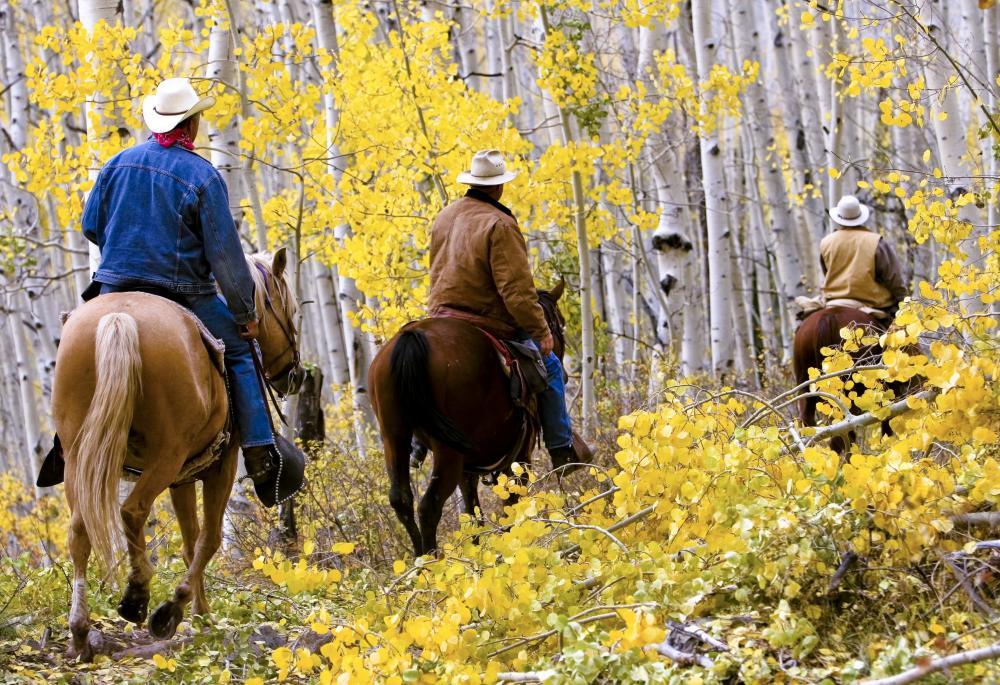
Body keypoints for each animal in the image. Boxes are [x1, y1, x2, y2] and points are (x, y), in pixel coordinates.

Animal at [52, 250, 298, 656]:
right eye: (289, 309)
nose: (294, 374)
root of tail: (118, 319)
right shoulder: (219, 467)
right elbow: (208, 539)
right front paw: (178, 609)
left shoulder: (183, 478)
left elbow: (189, 542)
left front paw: (200, 615)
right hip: (165, 457)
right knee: (132, 511)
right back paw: (137, 597)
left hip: (81, 458)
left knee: (79, 531)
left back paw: (80, 631)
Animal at [372, 284, 568, 556]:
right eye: (558, 324)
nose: (565, 374)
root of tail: (411, 337)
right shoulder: (519, 460)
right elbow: (510, 507)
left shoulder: (469, 470)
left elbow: (472, 514)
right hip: (448, 452)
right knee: (429, 506)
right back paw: (432, 561)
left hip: (394, 437)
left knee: (402, 500)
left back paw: (419, 561)